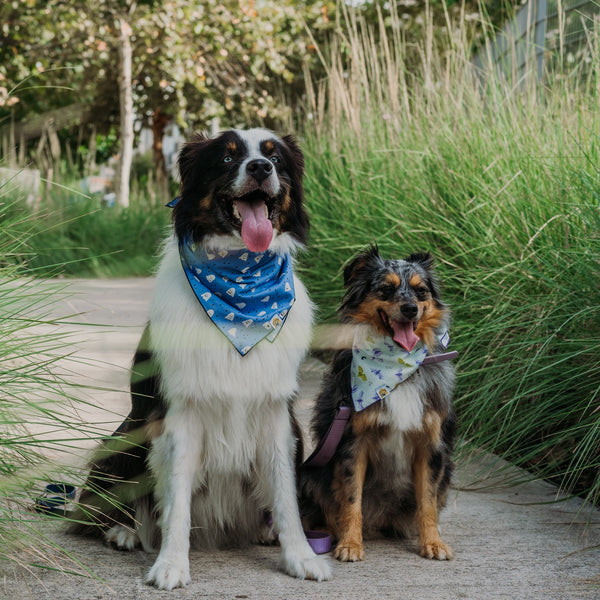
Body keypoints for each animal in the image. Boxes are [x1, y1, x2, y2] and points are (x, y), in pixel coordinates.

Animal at [72, 129, 332, 588]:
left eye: (275, 158)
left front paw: (300, 556)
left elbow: (285, 495)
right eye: (227, 158)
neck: (241, 289)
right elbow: (176, 500)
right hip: (126, 435)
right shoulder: (180, 413)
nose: (260, 168)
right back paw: (123, 531)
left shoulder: (277, 414)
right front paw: (172, 564)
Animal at [300, 244, 454, 564]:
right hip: (310, 473)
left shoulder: (430, 445)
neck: (397, 367)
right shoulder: (353, 443)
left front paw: (432, 542)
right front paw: (350, 543)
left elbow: (428, 502)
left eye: (421, 291)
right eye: (386, 289)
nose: (410, 309)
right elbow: (351, 500)